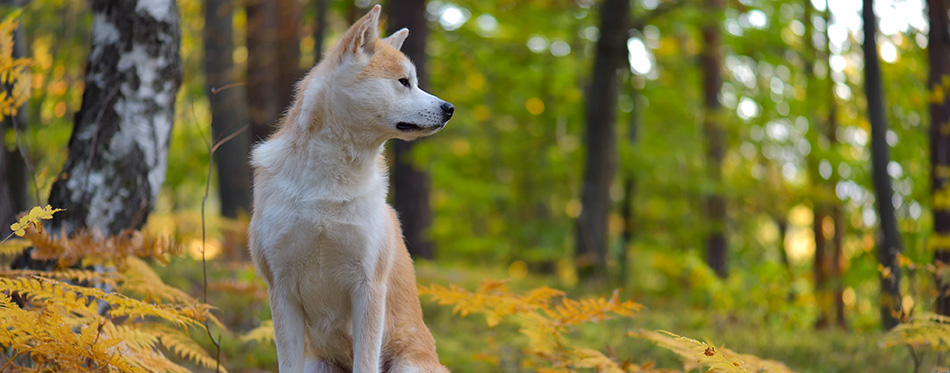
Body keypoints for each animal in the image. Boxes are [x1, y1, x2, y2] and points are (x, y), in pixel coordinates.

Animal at [245, 5, 454, 372]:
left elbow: (366, 363)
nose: (450, 109)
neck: (326, 187)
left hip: (408, 364)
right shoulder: (281, 291)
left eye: (414, 81)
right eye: (404, 82)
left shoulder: (368, 288)